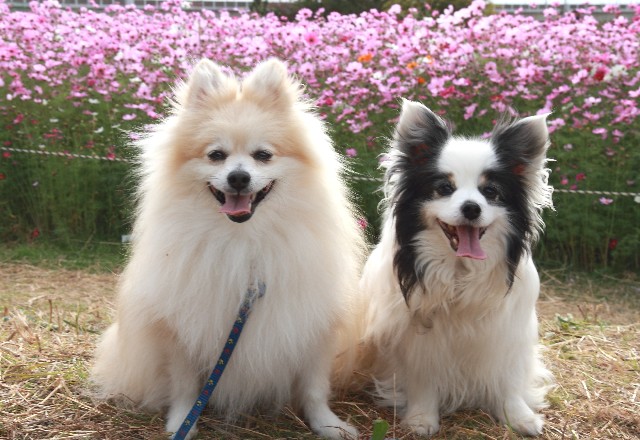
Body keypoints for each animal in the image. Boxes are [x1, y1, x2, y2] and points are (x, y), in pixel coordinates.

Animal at [92, 58, 365, 439]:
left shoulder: (311, 323)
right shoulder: (182, 327)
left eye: (263, 156)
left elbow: (314, 386)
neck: (243, 241)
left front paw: (328, 424)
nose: (238, 177)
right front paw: (183, 422)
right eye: (216, 155)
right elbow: (186, 387)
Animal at [358, 99, 554, 436]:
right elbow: (422, 379)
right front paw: (422, 418)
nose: (471, 208)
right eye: (444, 188)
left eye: (491, 192)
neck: (461, 271)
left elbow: (508, 378)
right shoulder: (417, 339)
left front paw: (518, 416)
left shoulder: (506, 333)